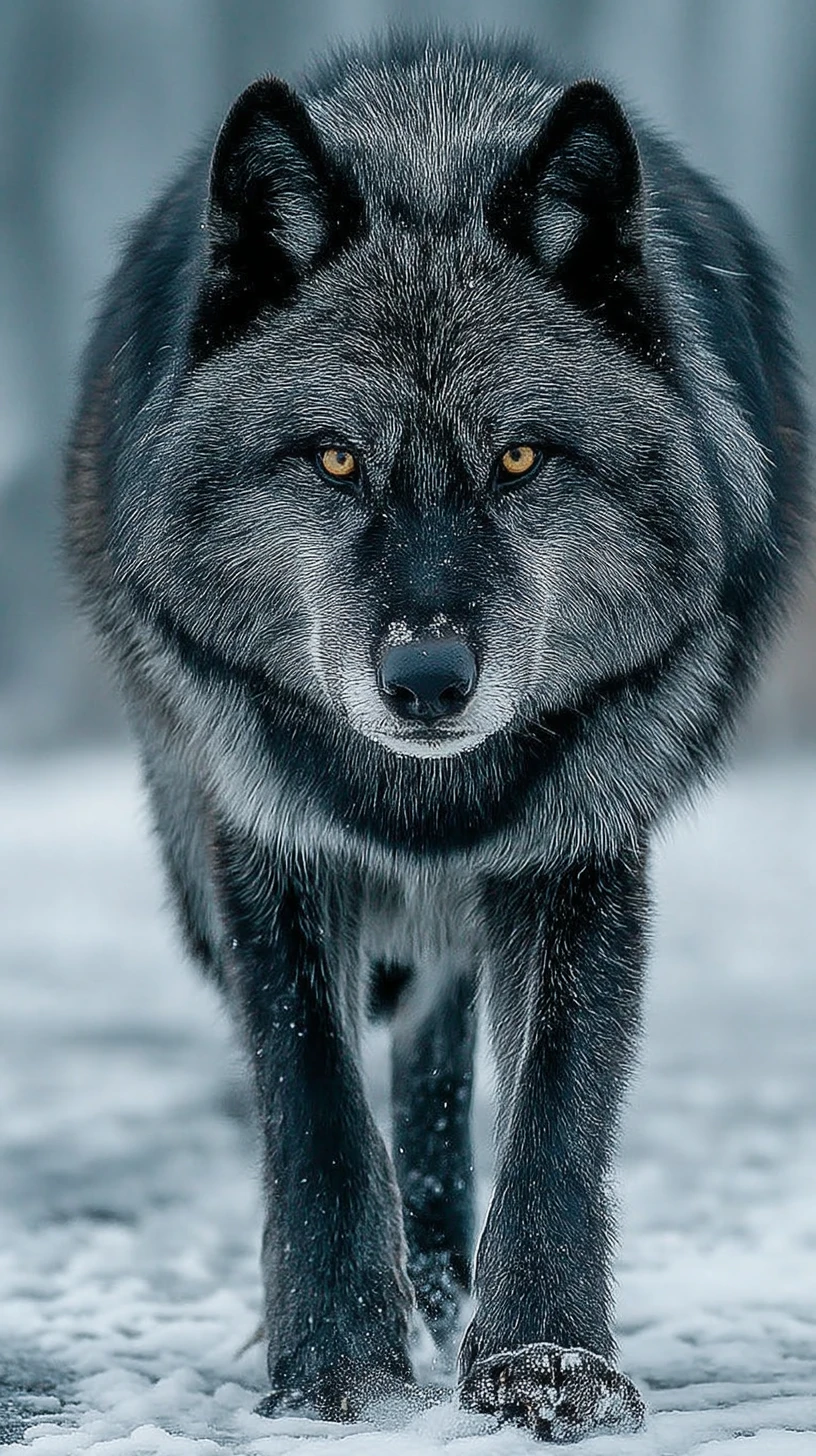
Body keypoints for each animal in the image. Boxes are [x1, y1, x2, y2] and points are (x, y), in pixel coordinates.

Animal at [65, 32, 807, 1443]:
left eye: (518, 459)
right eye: (336, 461)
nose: (424, 680)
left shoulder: (578, 852)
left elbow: (553, 1123)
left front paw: (542, 1359)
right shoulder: (267, 845)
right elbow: (312, 1113)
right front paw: (336, 1366)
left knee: (437, 1061)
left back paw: (446, 1281)